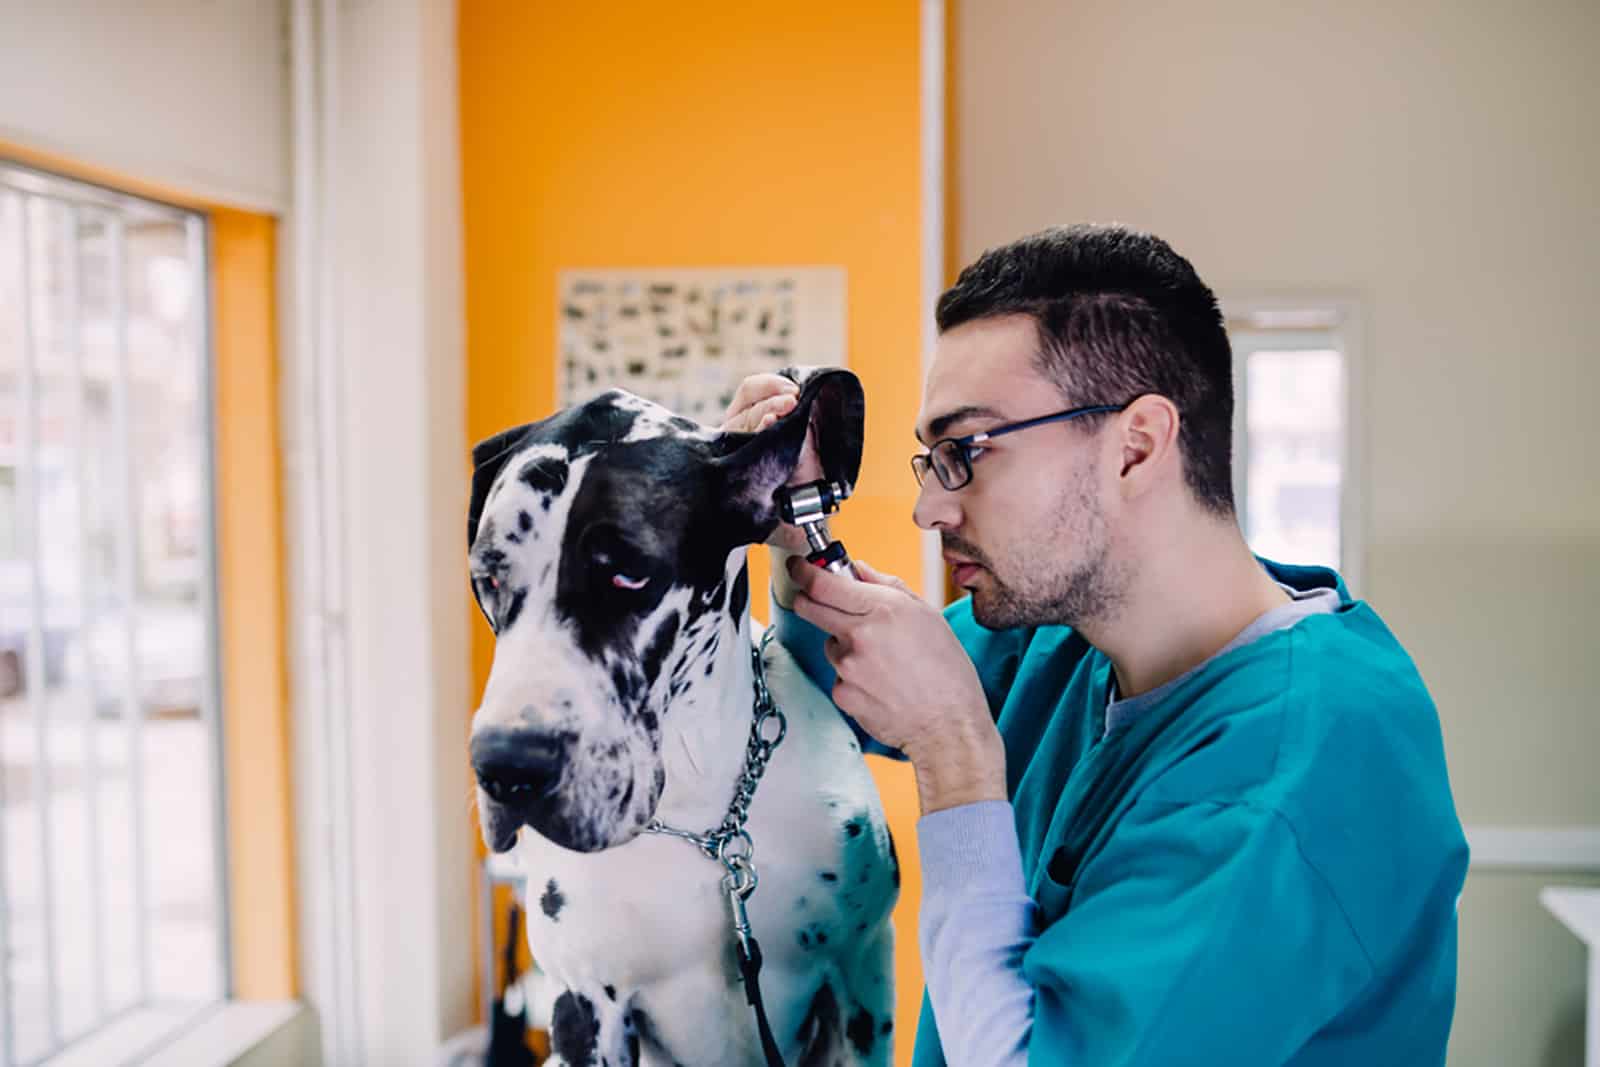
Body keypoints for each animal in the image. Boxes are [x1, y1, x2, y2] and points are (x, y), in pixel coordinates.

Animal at [467, 369, 902, 1067]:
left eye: (628, 575)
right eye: (488, 578)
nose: (508, 767)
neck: (702, 816)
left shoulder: (862, 973)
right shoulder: (586, 1009)